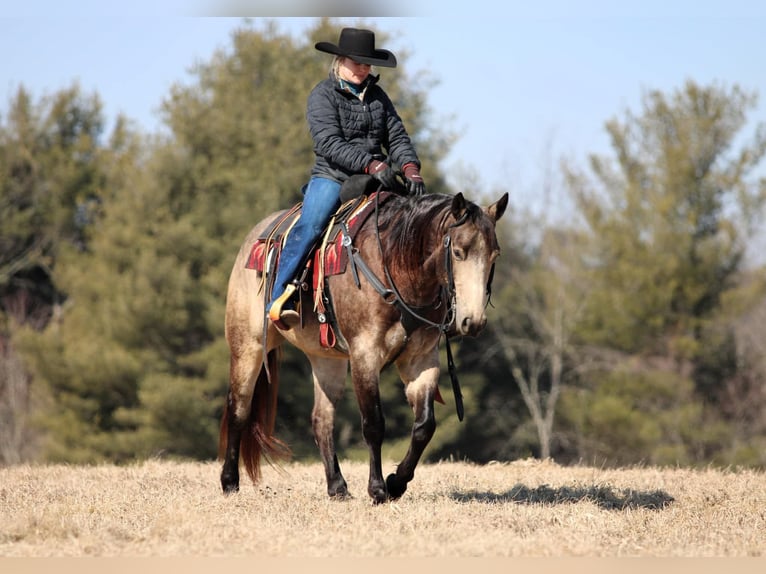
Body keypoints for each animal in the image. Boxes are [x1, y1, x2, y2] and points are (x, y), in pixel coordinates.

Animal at [219, 184, 508, 504]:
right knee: (238, 409)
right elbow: (373, 424)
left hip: (327, 359)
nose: (474, 322)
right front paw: (378, 488)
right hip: (248, 346)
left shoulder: (421, 360)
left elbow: (424, 426)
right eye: (458, 252)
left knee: (321, 419)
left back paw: (337, 487)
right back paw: (229, 482)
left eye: (494, 255)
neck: (396, 267)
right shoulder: (365, 356)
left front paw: (397, 483)